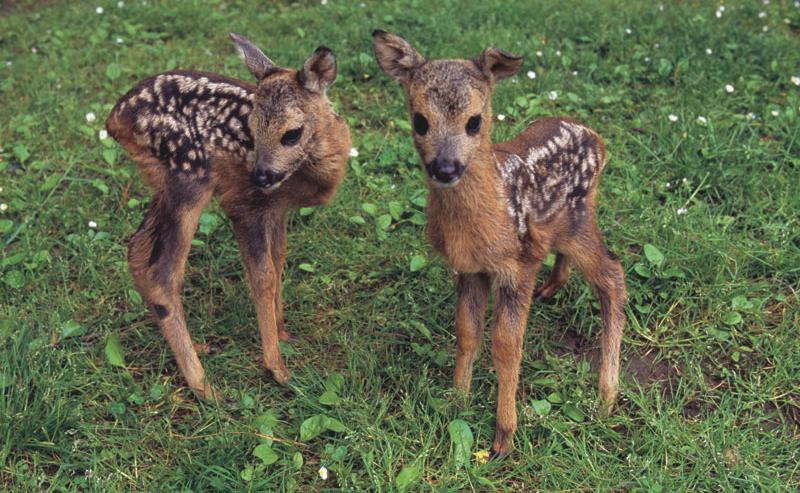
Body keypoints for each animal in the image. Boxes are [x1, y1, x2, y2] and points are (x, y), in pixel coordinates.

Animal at [104, 32, 348, 398]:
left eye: (292, 133)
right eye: (251, 130)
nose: (260, 175)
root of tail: (114, 119)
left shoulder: (276, 211)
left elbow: (279, 259)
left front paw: (283, 332)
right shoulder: (243, 205)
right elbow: (263, 276)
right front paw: (277, 367)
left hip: (163, 183)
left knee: (137, 249)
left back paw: (197, 350)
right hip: (190, 176)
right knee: (163, 272)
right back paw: (203, 385)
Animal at [372, 29, 628, 454]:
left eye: (474, 122)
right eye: (420, 121)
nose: (445, 168)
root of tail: (599, 140)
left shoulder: (518, 264)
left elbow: (507, 346)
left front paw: (504, 436)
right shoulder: (469, 268)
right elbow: (466, 332)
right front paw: (457, 401)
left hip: (578, 224)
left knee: (613, 275)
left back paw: (606, 396)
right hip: (564, 227)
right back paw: (551, 289)